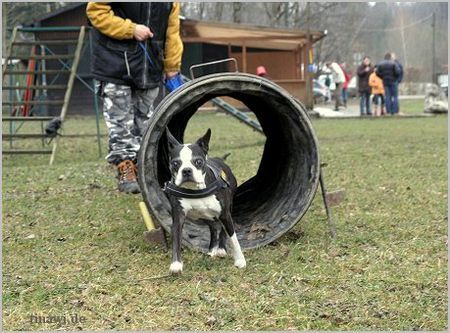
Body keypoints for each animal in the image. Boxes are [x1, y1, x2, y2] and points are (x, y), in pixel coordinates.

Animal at [164, 127, 246, 272]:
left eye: (198, 162)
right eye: (175, 163)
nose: (186, 170)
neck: (196, 190)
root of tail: (220, 159)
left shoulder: (225, 214)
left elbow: (233, 237)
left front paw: (240, 260)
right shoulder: (178, 217)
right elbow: (176, 239)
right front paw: (176, 264)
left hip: (227, 207)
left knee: (222, 229)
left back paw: (221, 249)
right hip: (205, 216)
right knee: (213, 227)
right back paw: (212, 249)